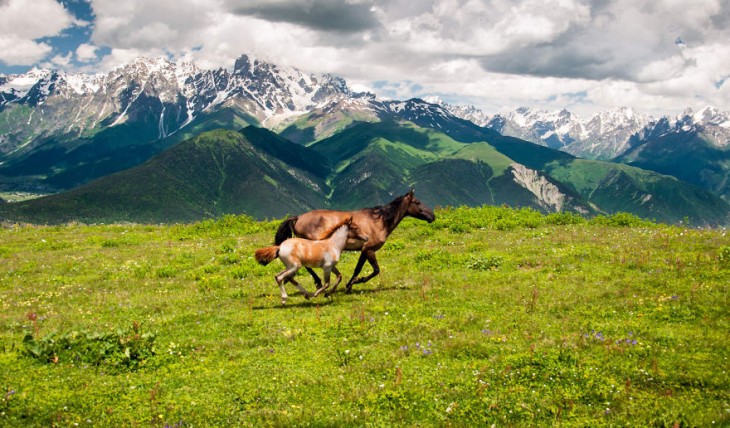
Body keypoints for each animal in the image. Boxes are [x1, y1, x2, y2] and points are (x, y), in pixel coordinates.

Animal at [274, 189, 436, 294]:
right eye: (417, 202)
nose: (432, 216)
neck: (379, 222)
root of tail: (298, 218)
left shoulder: (365, 250)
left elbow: (360, 268)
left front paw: (350, 284)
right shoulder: (368, 249)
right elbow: (373, 270)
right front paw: (353, 283)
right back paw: (317, 282)